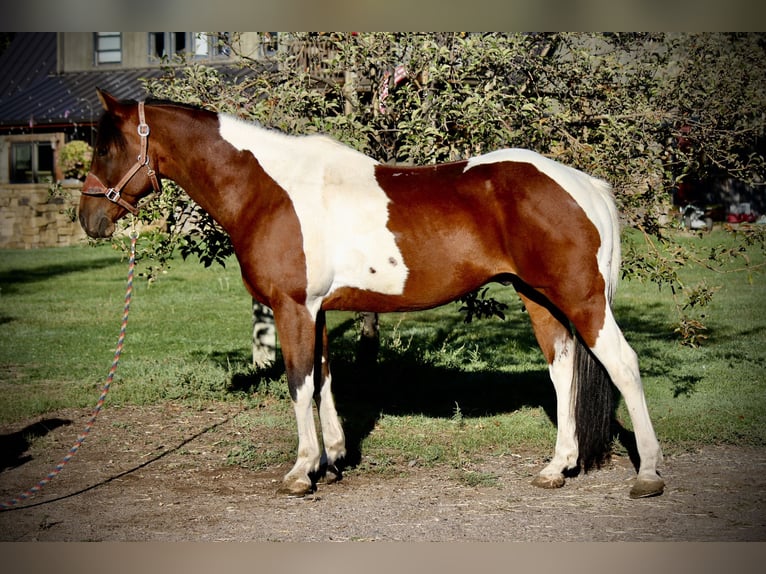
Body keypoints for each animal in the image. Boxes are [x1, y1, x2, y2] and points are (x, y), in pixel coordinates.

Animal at [79, 89, 665, 499]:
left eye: (107, 147)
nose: (89, 218)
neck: (271, 190)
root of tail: (586, 185)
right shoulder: (316, 312)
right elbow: (323, 381)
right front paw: (333, 458)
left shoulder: (293, 308)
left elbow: (298, 383)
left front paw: (301, 471)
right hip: (538, 298)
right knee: (563, 371)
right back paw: (555, 468)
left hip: (582, 300)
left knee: (623, 365)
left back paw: (649, 475)